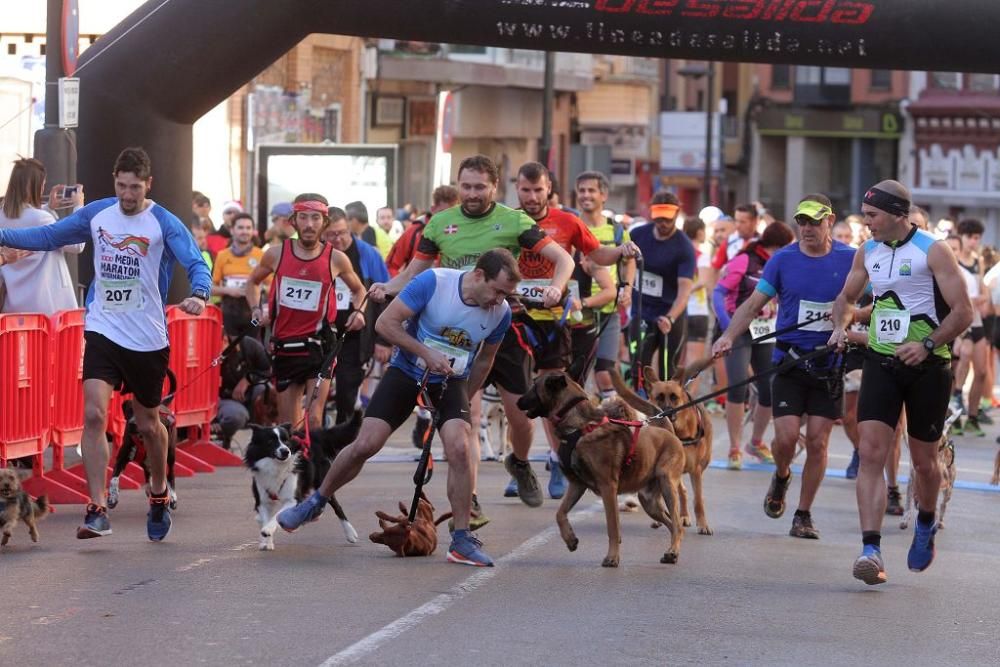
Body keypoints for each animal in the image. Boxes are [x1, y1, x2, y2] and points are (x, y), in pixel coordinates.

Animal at [516, 374, 688, 568]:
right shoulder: (576, 485)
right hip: (649, 501)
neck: (578, 428)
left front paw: (612, 557)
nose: (517, 402)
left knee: (677, 524)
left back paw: (672, 552)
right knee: (672, 524)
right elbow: (560, 513)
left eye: (534, 386)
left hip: (667, 485)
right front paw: (570, 539)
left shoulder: (608, 488)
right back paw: (671, 551)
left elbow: (613, 527)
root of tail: (668, 432)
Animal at [608, 362, 712, 536]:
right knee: (680, 493)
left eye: (674, 397)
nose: (667, 414)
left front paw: (703, 525)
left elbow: (698, 500)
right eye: (659, 397)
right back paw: (677, 517)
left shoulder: (695, 471)